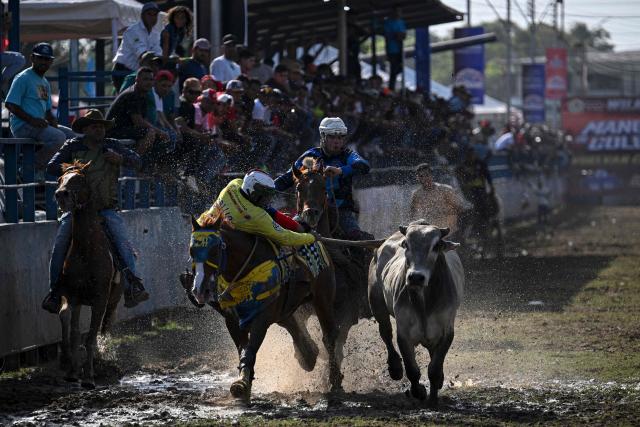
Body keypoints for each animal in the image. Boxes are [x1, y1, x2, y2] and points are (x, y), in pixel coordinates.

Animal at [368, 219, 464, 407]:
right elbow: (412, 370)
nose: (415, 277)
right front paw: (419, 391)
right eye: (406, 244)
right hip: (377, 304)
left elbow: (434, 369)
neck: (424, 303)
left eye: (436, 246)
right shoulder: (404, 334)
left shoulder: (446, 332)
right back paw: (395, 368)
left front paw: (433, 397)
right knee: (386, 333)